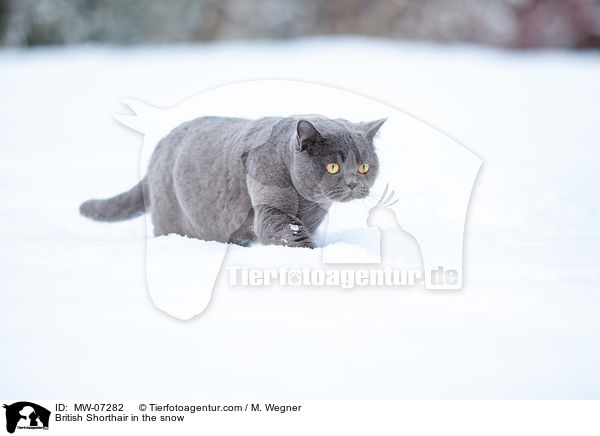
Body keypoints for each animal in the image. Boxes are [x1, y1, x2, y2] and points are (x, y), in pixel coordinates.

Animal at [81, 116, 384, 249]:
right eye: (333, 167)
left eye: (364, 167)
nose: (353, 183)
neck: (308, 204)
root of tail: (160, 145)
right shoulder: (271, 209)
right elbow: (288, 233)